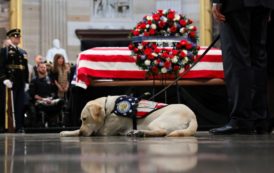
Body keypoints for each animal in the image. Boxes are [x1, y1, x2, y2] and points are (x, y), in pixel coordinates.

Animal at [60, 95, 197, 137]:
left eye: (84, 119)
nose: (82, 133)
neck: (109, 108)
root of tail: (192, 116)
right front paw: (67, 132)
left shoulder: (104, 131)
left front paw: (70, 132)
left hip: (156, 122)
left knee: (162, 132)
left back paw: (139, 132)